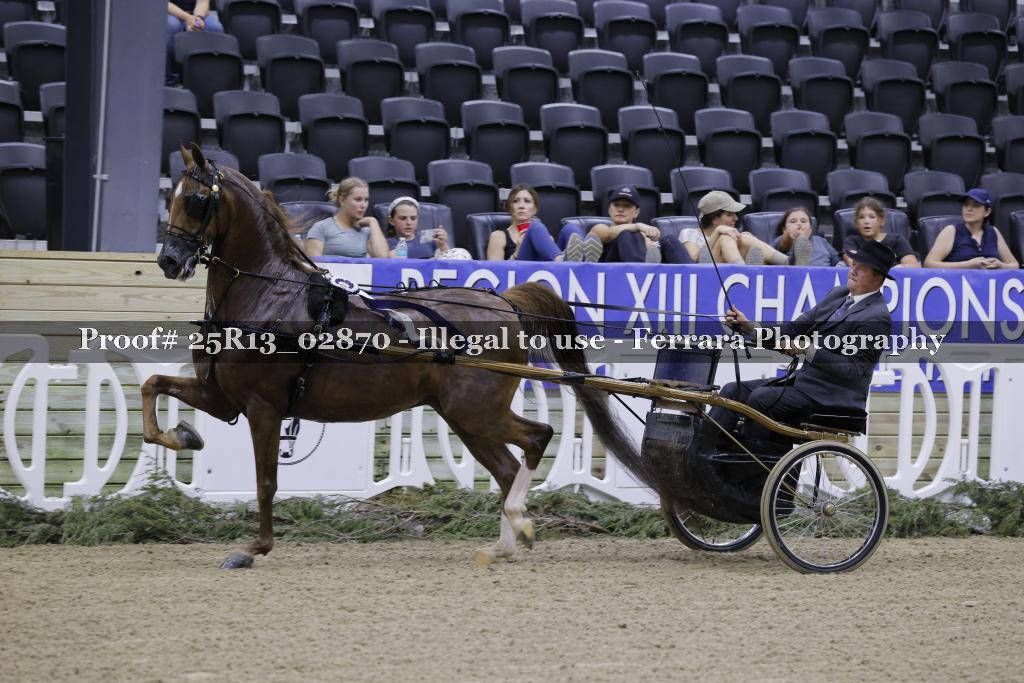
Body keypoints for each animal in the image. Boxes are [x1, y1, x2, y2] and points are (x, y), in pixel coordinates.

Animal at [145, 144, 652, 569]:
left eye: (195, 199)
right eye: (174, 197)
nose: (169, 260)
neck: (271, 295)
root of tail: (505, 302)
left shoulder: (262, 407)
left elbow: (266, 481)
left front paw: (254, 548)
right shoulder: (220, 396)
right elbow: (154, 389)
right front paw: (183, 435)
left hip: (477, 410)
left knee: (536, 438)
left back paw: (518, 522)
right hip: (465, 417)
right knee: (509, 467)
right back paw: (505, 542)